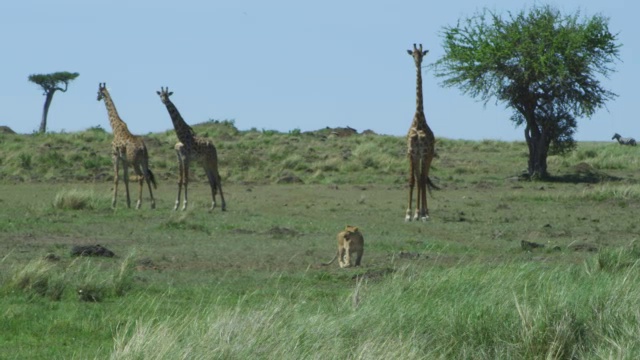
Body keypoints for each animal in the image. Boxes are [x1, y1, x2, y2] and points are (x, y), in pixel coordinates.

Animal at [97, 82, 158, 210]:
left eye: (97, 92)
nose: (97, 98)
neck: (115, 128)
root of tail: (142, 148)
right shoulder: (124, 160)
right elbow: (125, 178)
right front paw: (128, 203)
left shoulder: (115, 156)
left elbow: (116, 178)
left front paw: (113, 203)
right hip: (144, 160)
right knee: (147, 176)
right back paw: (152, 204)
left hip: (134, 162)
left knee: (141, 177)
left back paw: (139, 204)